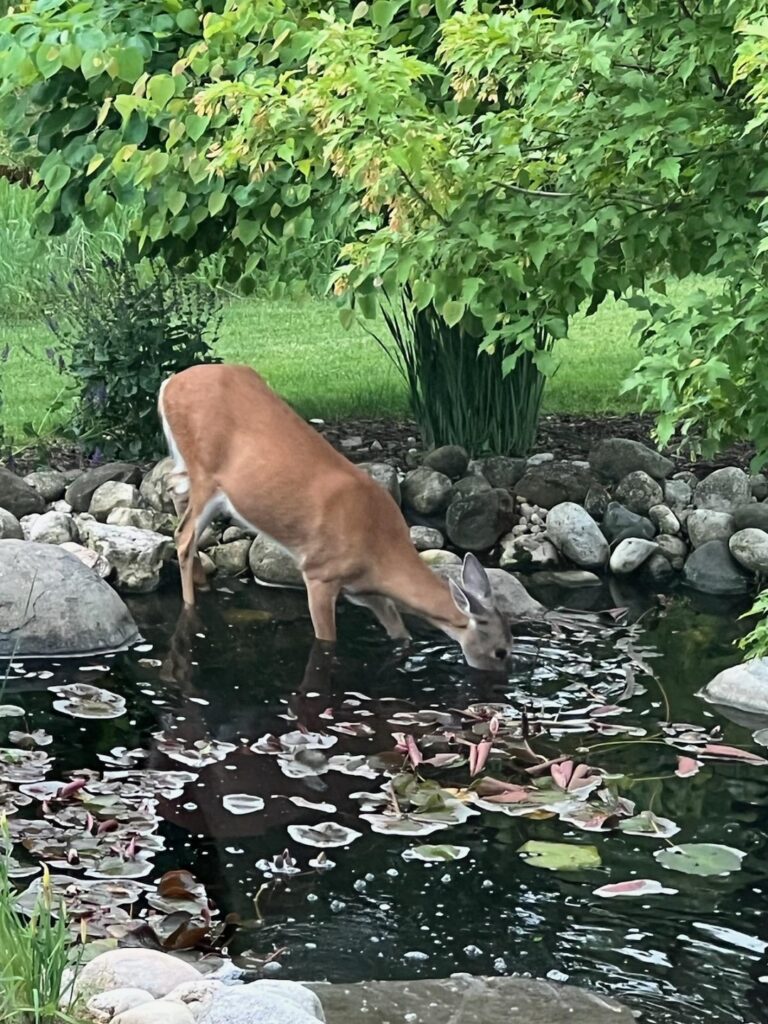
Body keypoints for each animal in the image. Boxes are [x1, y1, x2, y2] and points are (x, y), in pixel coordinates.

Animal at [158, 364, 513, 671]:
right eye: (501, 651)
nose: (501, 678)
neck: (378, 547)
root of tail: (169, 384)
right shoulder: (320, 573)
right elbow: (327, 641)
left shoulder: (365, 591)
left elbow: (401, 634)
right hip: (206, 474)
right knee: (184, 536)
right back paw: (191, 607)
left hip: (192, 470)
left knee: (175, 493)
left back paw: (203, 582)